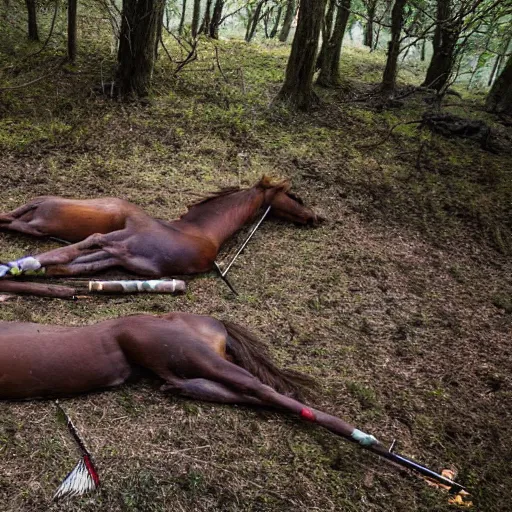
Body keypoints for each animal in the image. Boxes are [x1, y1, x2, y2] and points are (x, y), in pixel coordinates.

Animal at [0, 177, 322, 280]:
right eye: (295, 196)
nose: (314, 218)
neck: (202, 232)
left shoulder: (121, 256)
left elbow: (66, 266)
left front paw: (23, 269)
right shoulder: (122, 241)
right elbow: (71, 251)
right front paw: (16, 265)